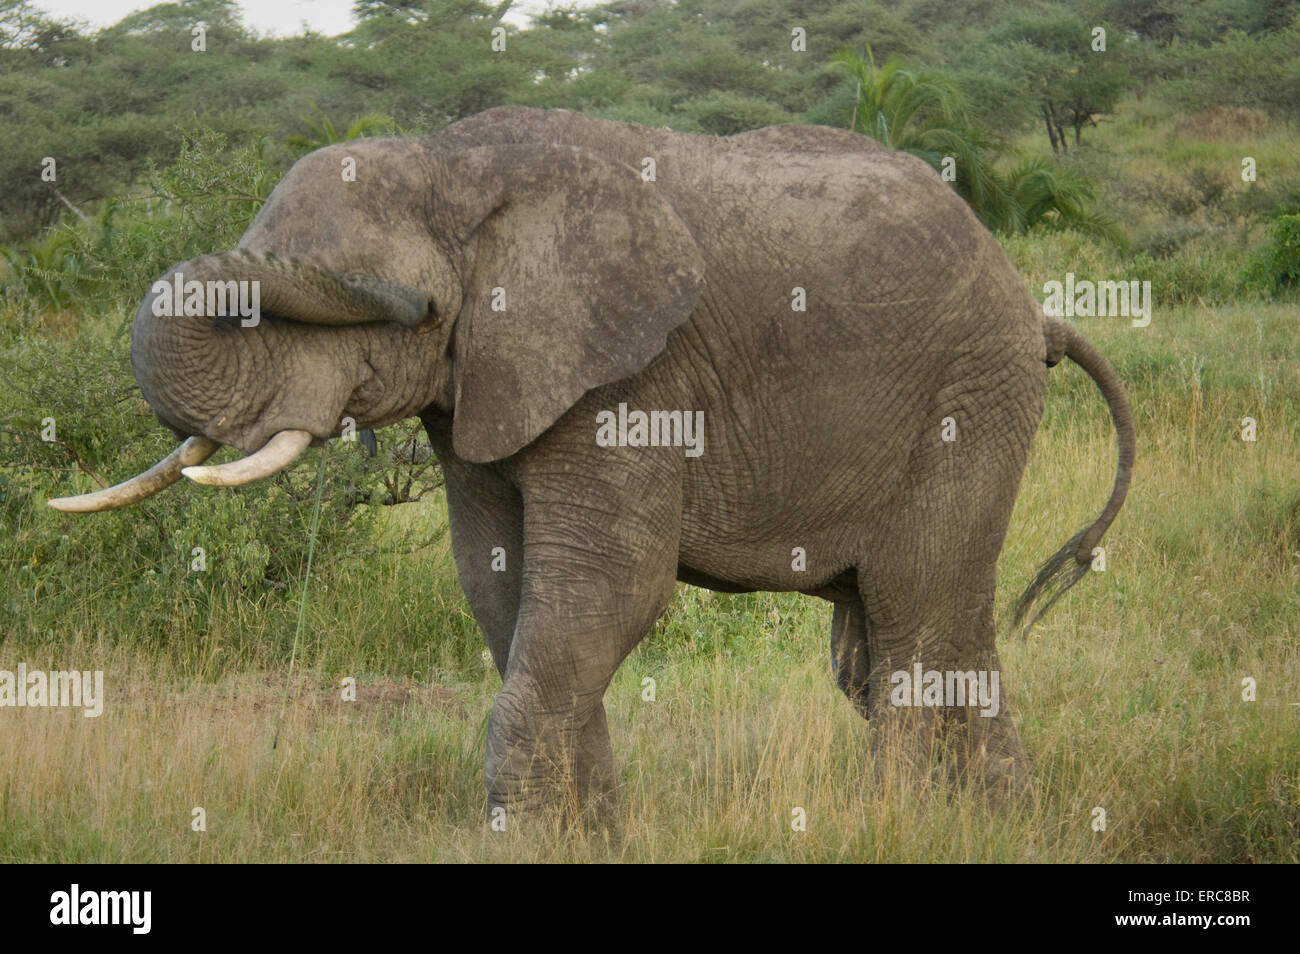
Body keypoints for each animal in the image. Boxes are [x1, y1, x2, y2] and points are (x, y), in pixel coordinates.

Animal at [45, 104, 1133, 821]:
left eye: (406, 310)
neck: (455, 159)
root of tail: (1032, 308)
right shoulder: (485, 387)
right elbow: (503, 586)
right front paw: (587, 832)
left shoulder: (634, 373)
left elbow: (605, 589)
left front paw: (529, 832)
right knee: (894, 639)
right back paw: (1003, 819)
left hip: (969, 399)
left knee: (915, 614)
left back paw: (898, 824)